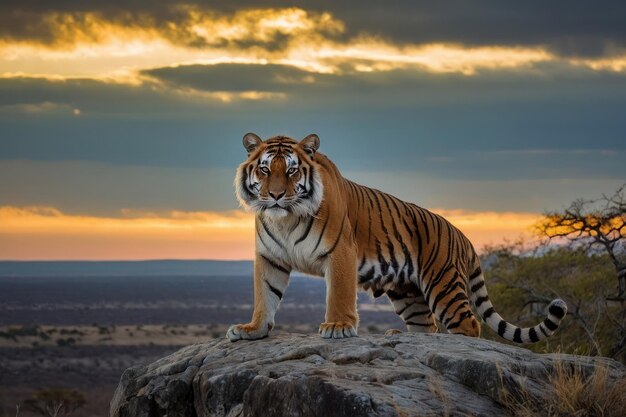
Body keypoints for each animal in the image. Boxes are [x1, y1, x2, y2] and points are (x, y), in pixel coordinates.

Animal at [228, 133, 564, 342]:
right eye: (265, 169)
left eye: (292, 171)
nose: (275, 196)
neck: (285, 219)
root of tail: (463, 236)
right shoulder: (270, 258)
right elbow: (265, 295)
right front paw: (253, 329)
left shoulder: (340, 252)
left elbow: (339, 294)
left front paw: (338, 326)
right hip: (409, 295)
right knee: (427, 326)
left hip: (444, 286)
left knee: (469, 324)